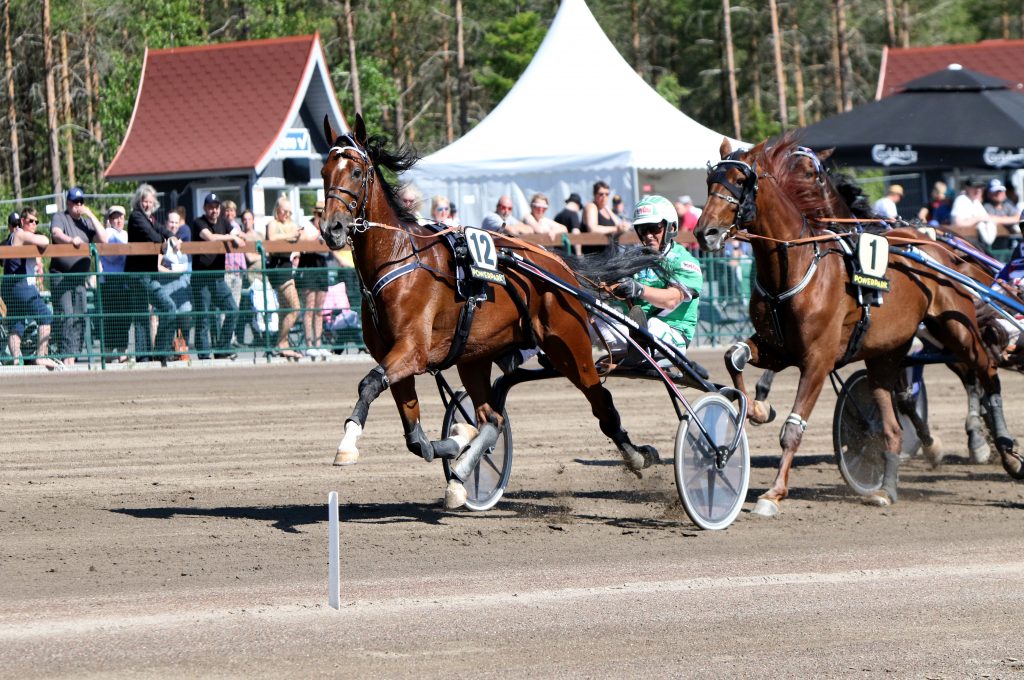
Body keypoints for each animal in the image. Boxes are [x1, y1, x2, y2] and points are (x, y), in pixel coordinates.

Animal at [315, 115, 659, 510]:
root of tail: (558, 264)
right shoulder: (394, 357)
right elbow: (416, 438)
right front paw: (457, 441)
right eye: (324, 171)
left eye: (357, 172)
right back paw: (461, 473)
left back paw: (638, 455)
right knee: (492, 418)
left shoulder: (412, 350)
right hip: (474, 357)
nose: (332, 228)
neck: (400, 259)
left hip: (569, 347)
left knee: (601, 401)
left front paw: (346, 445)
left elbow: (369, 383)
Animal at [692, 135, 1019, 516]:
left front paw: (773, 493)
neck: (795, 266)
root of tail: (937, 248)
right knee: (893, 425)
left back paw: (1006, 451)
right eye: (710, 181)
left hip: (955, 330)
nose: (705, 232)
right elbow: (734, 355)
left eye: (741, 181)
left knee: (984, 370)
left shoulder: (817, 360)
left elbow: (793, 428)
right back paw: (886, 489)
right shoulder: (777, 348)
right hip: (886, 355)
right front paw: (758, 408)